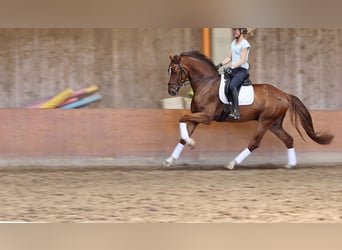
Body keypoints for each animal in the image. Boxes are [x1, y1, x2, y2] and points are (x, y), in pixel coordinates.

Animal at [164, 50, 334, 170]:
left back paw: (232, 163)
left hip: (265, 121)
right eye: (169, 70)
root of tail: (284, 94)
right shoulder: (196, 116)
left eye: (175, 70)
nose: (171, 91)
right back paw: (290, 164)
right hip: (274, 124)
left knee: (254, 143)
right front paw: (171, 158)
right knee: (288, 139)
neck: (206, 84)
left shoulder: (206, 117)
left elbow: (182, 118)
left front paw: (191, 142)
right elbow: (183, 134)